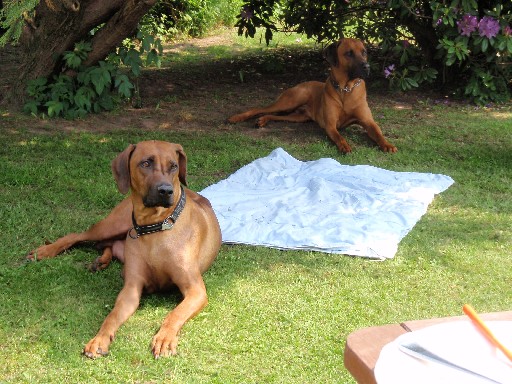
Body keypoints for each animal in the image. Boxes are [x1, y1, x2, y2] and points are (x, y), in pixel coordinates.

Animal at [27, 142, 220, 360]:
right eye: (145, 163)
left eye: (174, 166)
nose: (166, 190)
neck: (155, 227)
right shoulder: (131, 289)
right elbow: (111, 316)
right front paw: (99, 339)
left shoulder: (195, 290)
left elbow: (174, 314)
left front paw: (164, 338)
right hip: (114, 223)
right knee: (80, 236)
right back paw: (46, 251)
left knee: (107, 245)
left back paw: (100, 261)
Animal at [229, 38, 400, 153]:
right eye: (349, 53)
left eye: (364, 52)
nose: (367, 67)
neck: (346, 89)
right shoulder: (330, 125)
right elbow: (339, 137)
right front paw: (344, 145)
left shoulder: (368, 121)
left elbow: (378, 133)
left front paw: (387, 144)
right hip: (292, 100)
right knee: (260, 109)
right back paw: (237, 117)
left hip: (299, 117)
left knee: (274, 115)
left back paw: (262, 120)